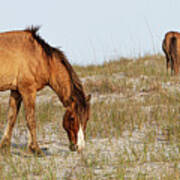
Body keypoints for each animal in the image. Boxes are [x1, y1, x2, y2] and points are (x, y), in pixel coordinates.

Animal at [0, 26, 90, 155]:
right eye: (72, 118)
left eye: (87, 118)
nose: (79, 147)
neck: (41, 58)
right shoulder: (28, 91)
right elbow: (31, 119)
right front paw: (36, 149)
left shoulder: (16, 91)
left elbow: (11, 118)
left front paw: (4, 147)